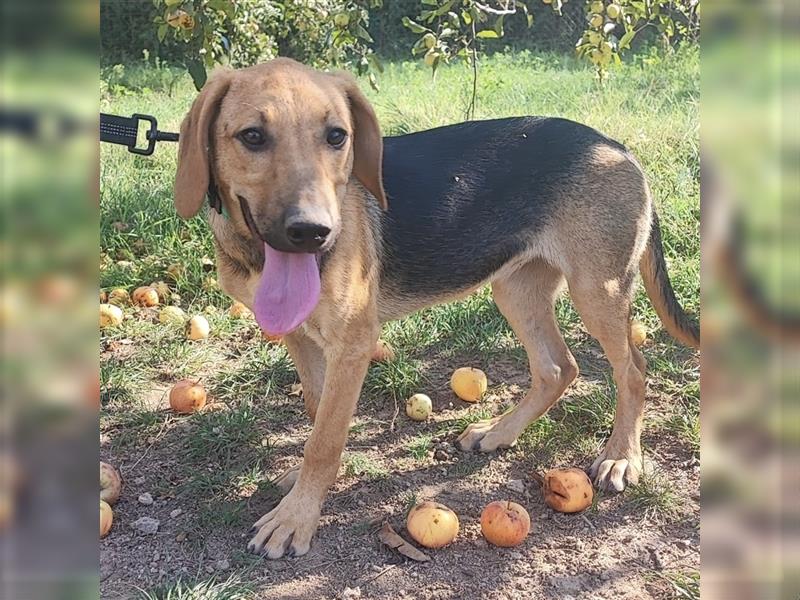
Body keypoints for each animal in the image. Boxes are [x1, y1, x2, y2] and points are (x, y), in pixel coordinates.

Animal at [172, 58, 696, 560]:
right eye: (252, 137)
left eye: (337, 136)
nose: (313, 233)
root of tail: (616, 146)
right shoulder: (302, 337)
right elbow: (320, 412)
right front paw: (304, 487)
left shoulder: (353, 343)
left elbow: (325, 438)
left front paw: (296, 516)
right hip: (515, 289)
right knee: (557, 367)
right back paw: (499, 432)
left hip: (597, 290)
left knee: (633, 369)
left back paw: (621, 456)